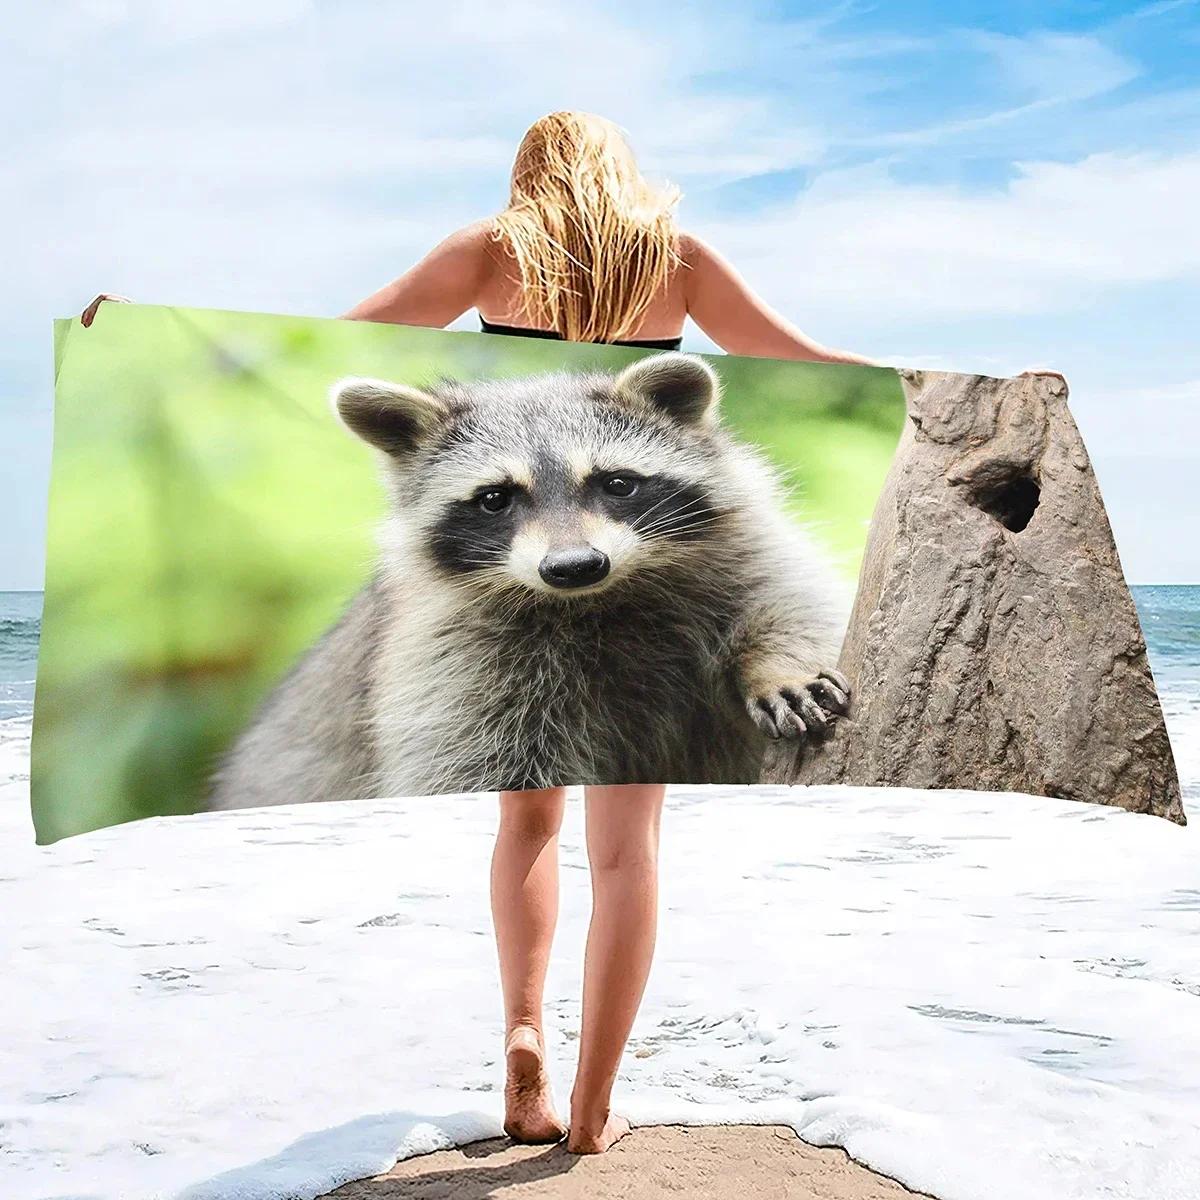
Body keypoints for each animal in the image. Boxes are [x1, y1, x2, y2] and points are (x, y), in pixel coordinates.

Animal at [207, 352, 852, 808]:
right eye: (495, 499)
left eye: (617, 483)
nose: (574, 566)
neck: (600, 598)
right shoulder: (451, 657)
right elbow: (477, 765)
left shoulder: (741, 551)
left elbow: (791, 600)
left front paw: (780, 663)